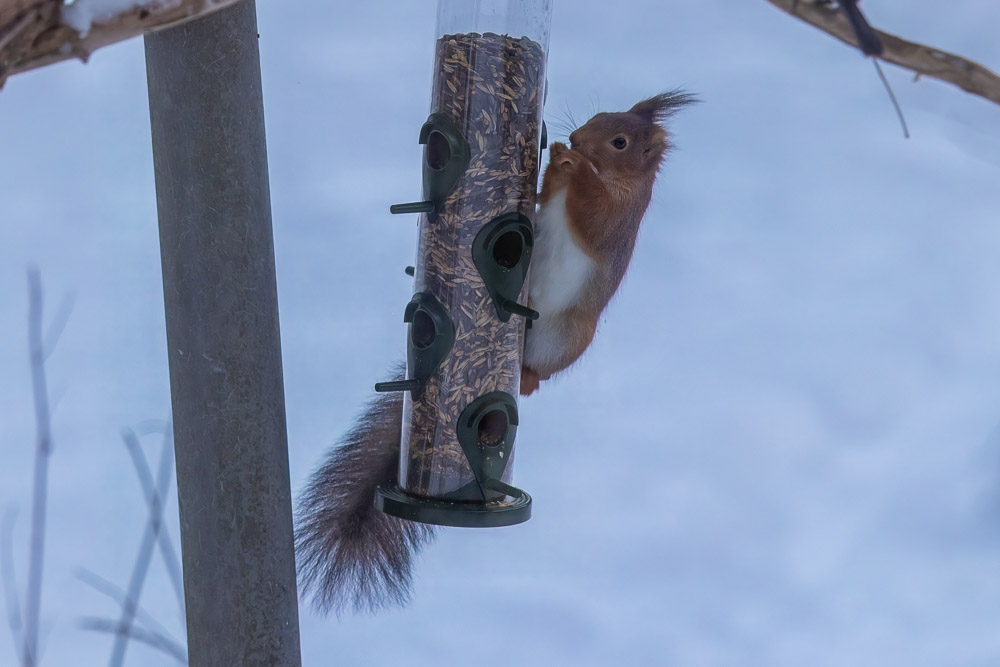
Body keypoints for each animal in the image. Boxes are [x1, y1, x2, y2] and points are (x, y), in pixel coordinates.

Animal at [292, 91, 692, 612]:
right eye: (599, 116)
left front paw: (571, 165)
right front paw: (559, 159)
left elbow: (588, 212)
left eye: (620, 141)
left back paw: (525, 376)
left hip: (562, 338)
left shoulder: (614, 221)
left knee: (535, 378)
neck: (617, 178)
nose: (577, 137)